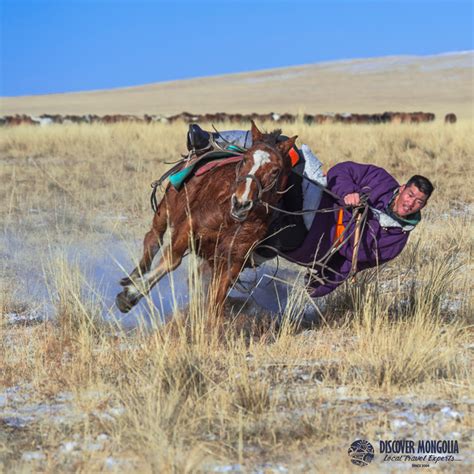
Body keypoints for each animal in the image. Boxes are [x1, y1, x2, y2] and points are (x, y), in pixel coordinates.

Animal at [115, 121, 296, 314]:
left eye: (275, 171)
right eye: (246, 159)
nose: (240, 203)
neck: (230, 217)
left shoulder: (234, 259)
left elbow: (216, 297)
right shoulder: (189, 226)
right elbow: (171, 260)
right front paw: (130, 295)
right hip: (166, 208)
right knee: (153, 239)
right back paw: (134, 276)